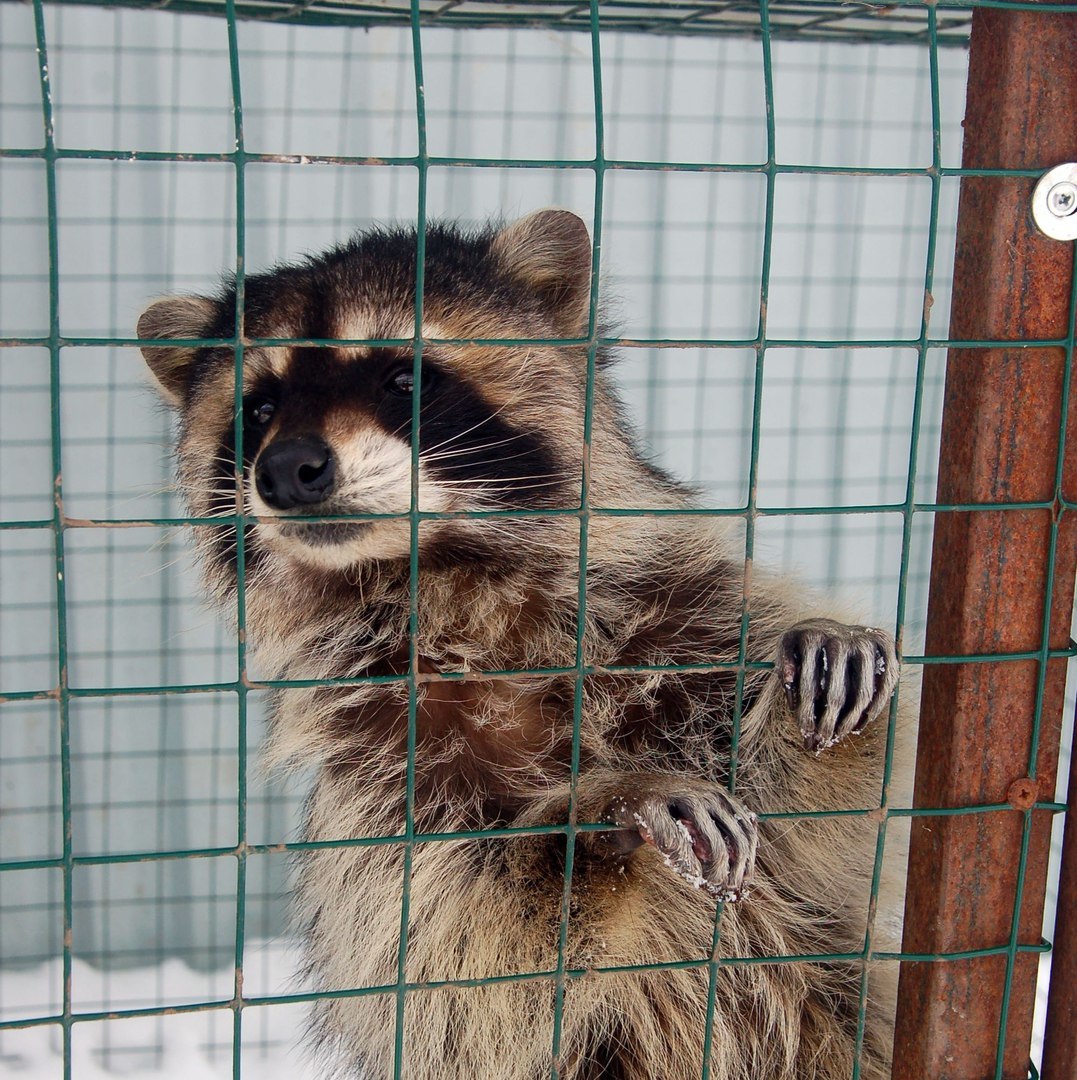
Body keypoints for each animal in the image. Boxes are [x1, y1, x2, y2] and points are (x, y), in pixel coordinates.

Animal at [138, 210, 903, 1080]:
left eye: (403, 380)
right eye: (260, 408)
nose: (287, 469)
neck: (452, 582)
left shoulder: (682, 618)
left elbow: (821, 838)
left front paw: (813, 700)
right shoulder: (380, 764)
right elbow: (465, 958)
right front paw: (599, 811)